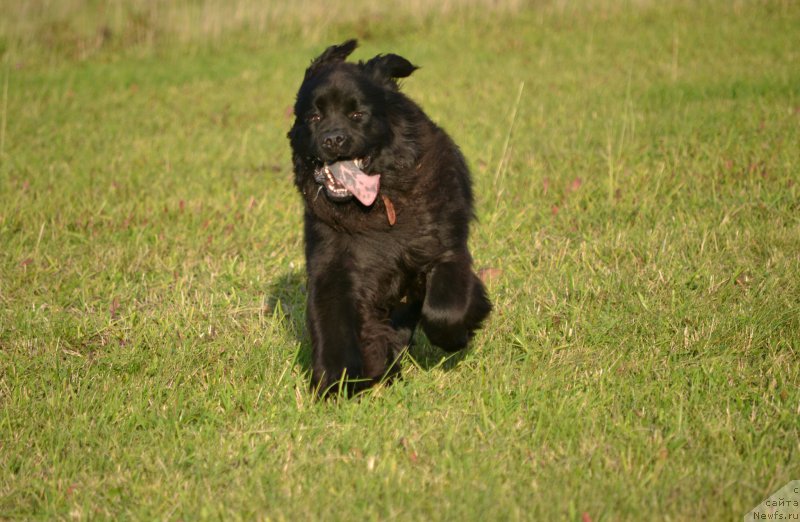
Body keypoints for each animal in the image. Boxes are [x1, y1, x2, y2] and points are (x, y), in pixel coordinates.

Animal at [284, 39, 490, 394]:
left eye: (358, 114)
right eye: (314, 115)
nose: (333, 139)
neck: (377, 205)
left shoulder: (444, 250)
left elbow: (444, 307)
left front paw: (456, 335)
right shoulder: (332, 265)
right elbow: (331, 324)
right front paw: (338, 380)